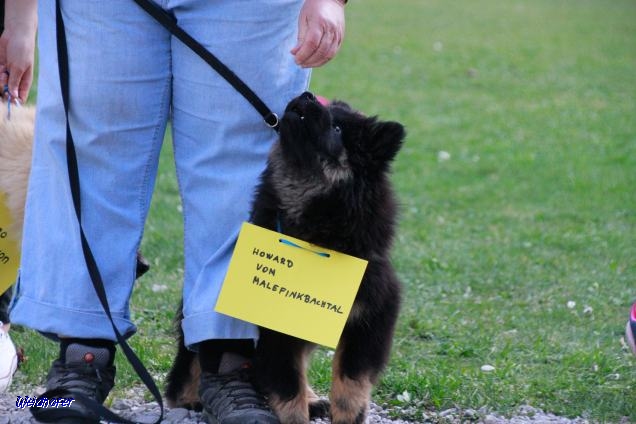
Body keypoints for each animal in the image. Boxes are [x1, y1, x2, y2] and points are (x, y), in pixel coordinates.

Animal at [166, 93, 404, 424]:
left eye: (338, 128)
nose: (306, 96)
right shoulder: (274, 329)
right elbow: (288, 386)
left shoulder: (369, 315)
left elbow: (350, 381)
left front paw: (347, 414)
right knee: (190, 363)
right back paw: (189, 399)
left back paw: (314, 400)